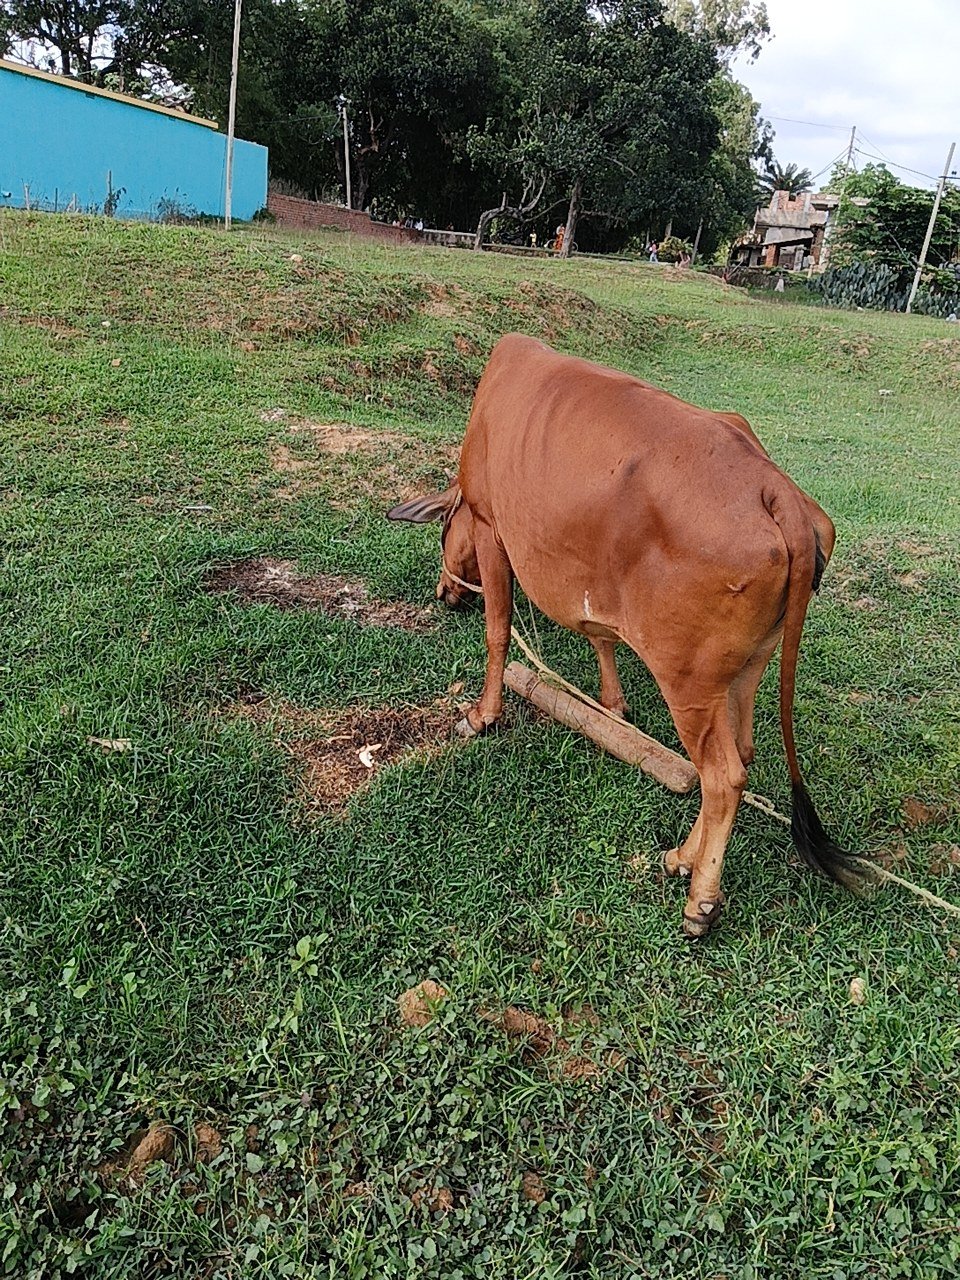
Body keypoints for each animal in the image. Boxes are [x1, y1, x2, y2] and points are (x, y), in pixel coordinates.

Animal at [388, 333, 865, 936]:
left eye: (448, 526)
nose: (443, 592)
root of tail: (776, 490)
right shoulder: (594, 585)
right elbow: (601, 638)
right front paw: (612, 706)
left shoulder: (493, 529)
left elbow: (498, 632)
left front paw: (482, 715)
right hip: (746, 669)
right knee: (742, 755)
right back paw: (682, 857)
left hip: (688, 684)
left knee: (722, 776)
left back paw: (701, 898)